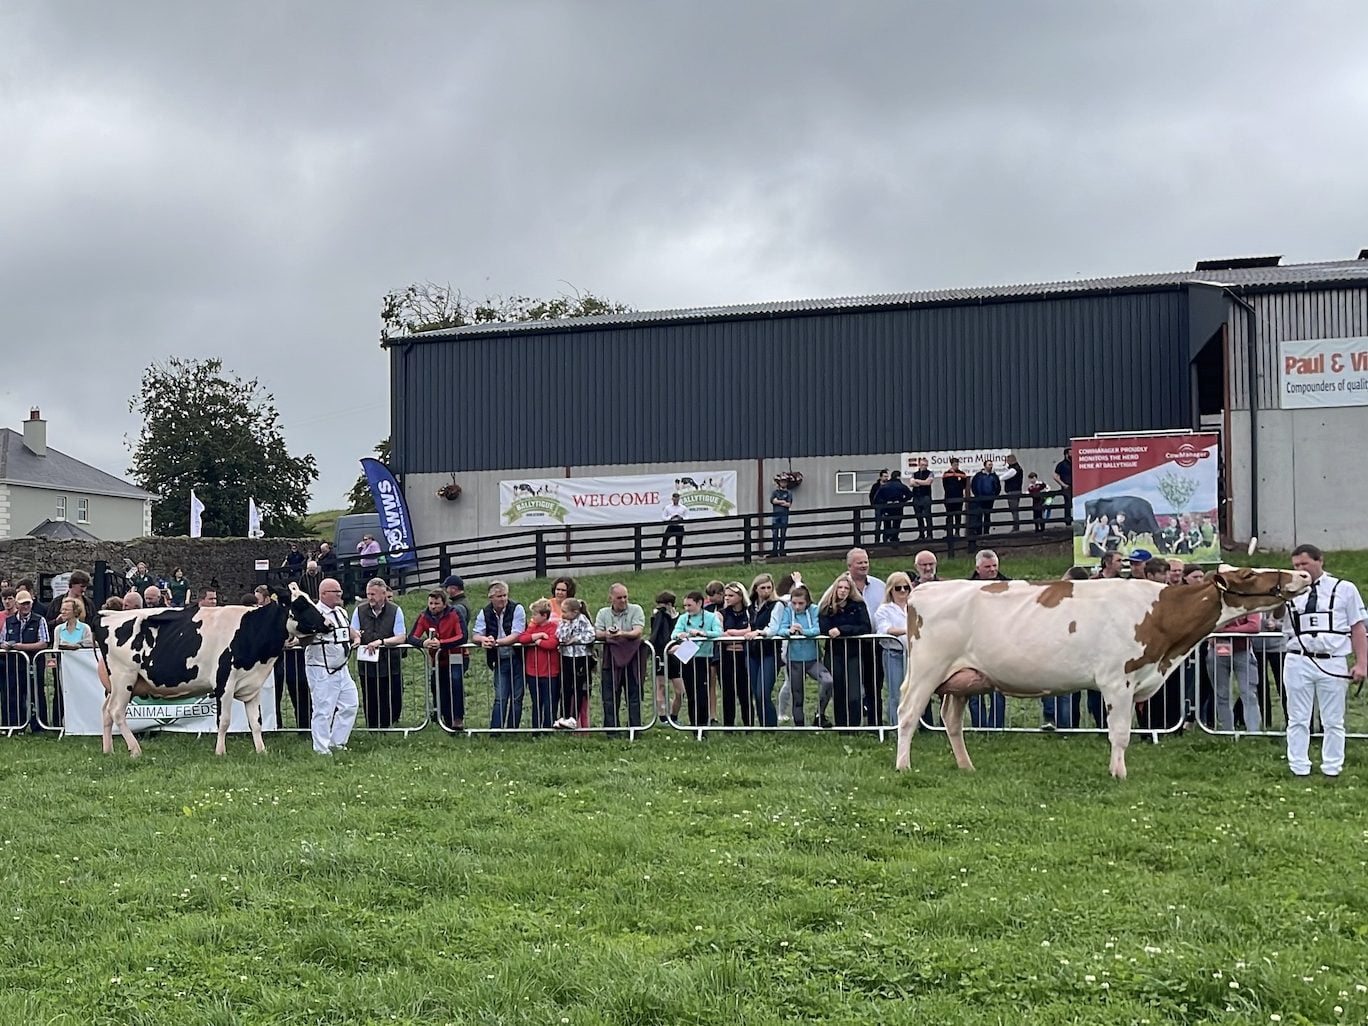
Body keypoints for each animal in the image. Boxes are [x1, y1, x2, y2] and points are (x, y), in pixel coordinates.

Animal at [93, 582, 328, 760]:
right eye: (301, 604)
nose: (328, 623)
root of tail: (106, 615)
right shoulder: (224, 682)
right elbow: (223, 721)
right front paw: (220, 752)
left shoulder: (253, 684)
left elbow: (256, 722)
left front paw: (261, 751)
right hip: (124, 678)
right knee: (116, 711)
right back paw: (135, 750)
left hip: (115, 685)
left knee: (105, 711)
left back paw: (108, 750)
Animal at [891, 571, 1307, 777]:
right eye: (1251, 575)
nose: (1303, 573)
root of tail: (923, 590)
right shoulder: (1117, 680)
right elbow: (1120, 734)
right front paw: (1119, 773)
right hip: (928, 669)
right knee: (908, 715)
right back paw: (904, 766)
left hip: (962, 679)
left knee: (951, 720)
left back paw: (966, 767)